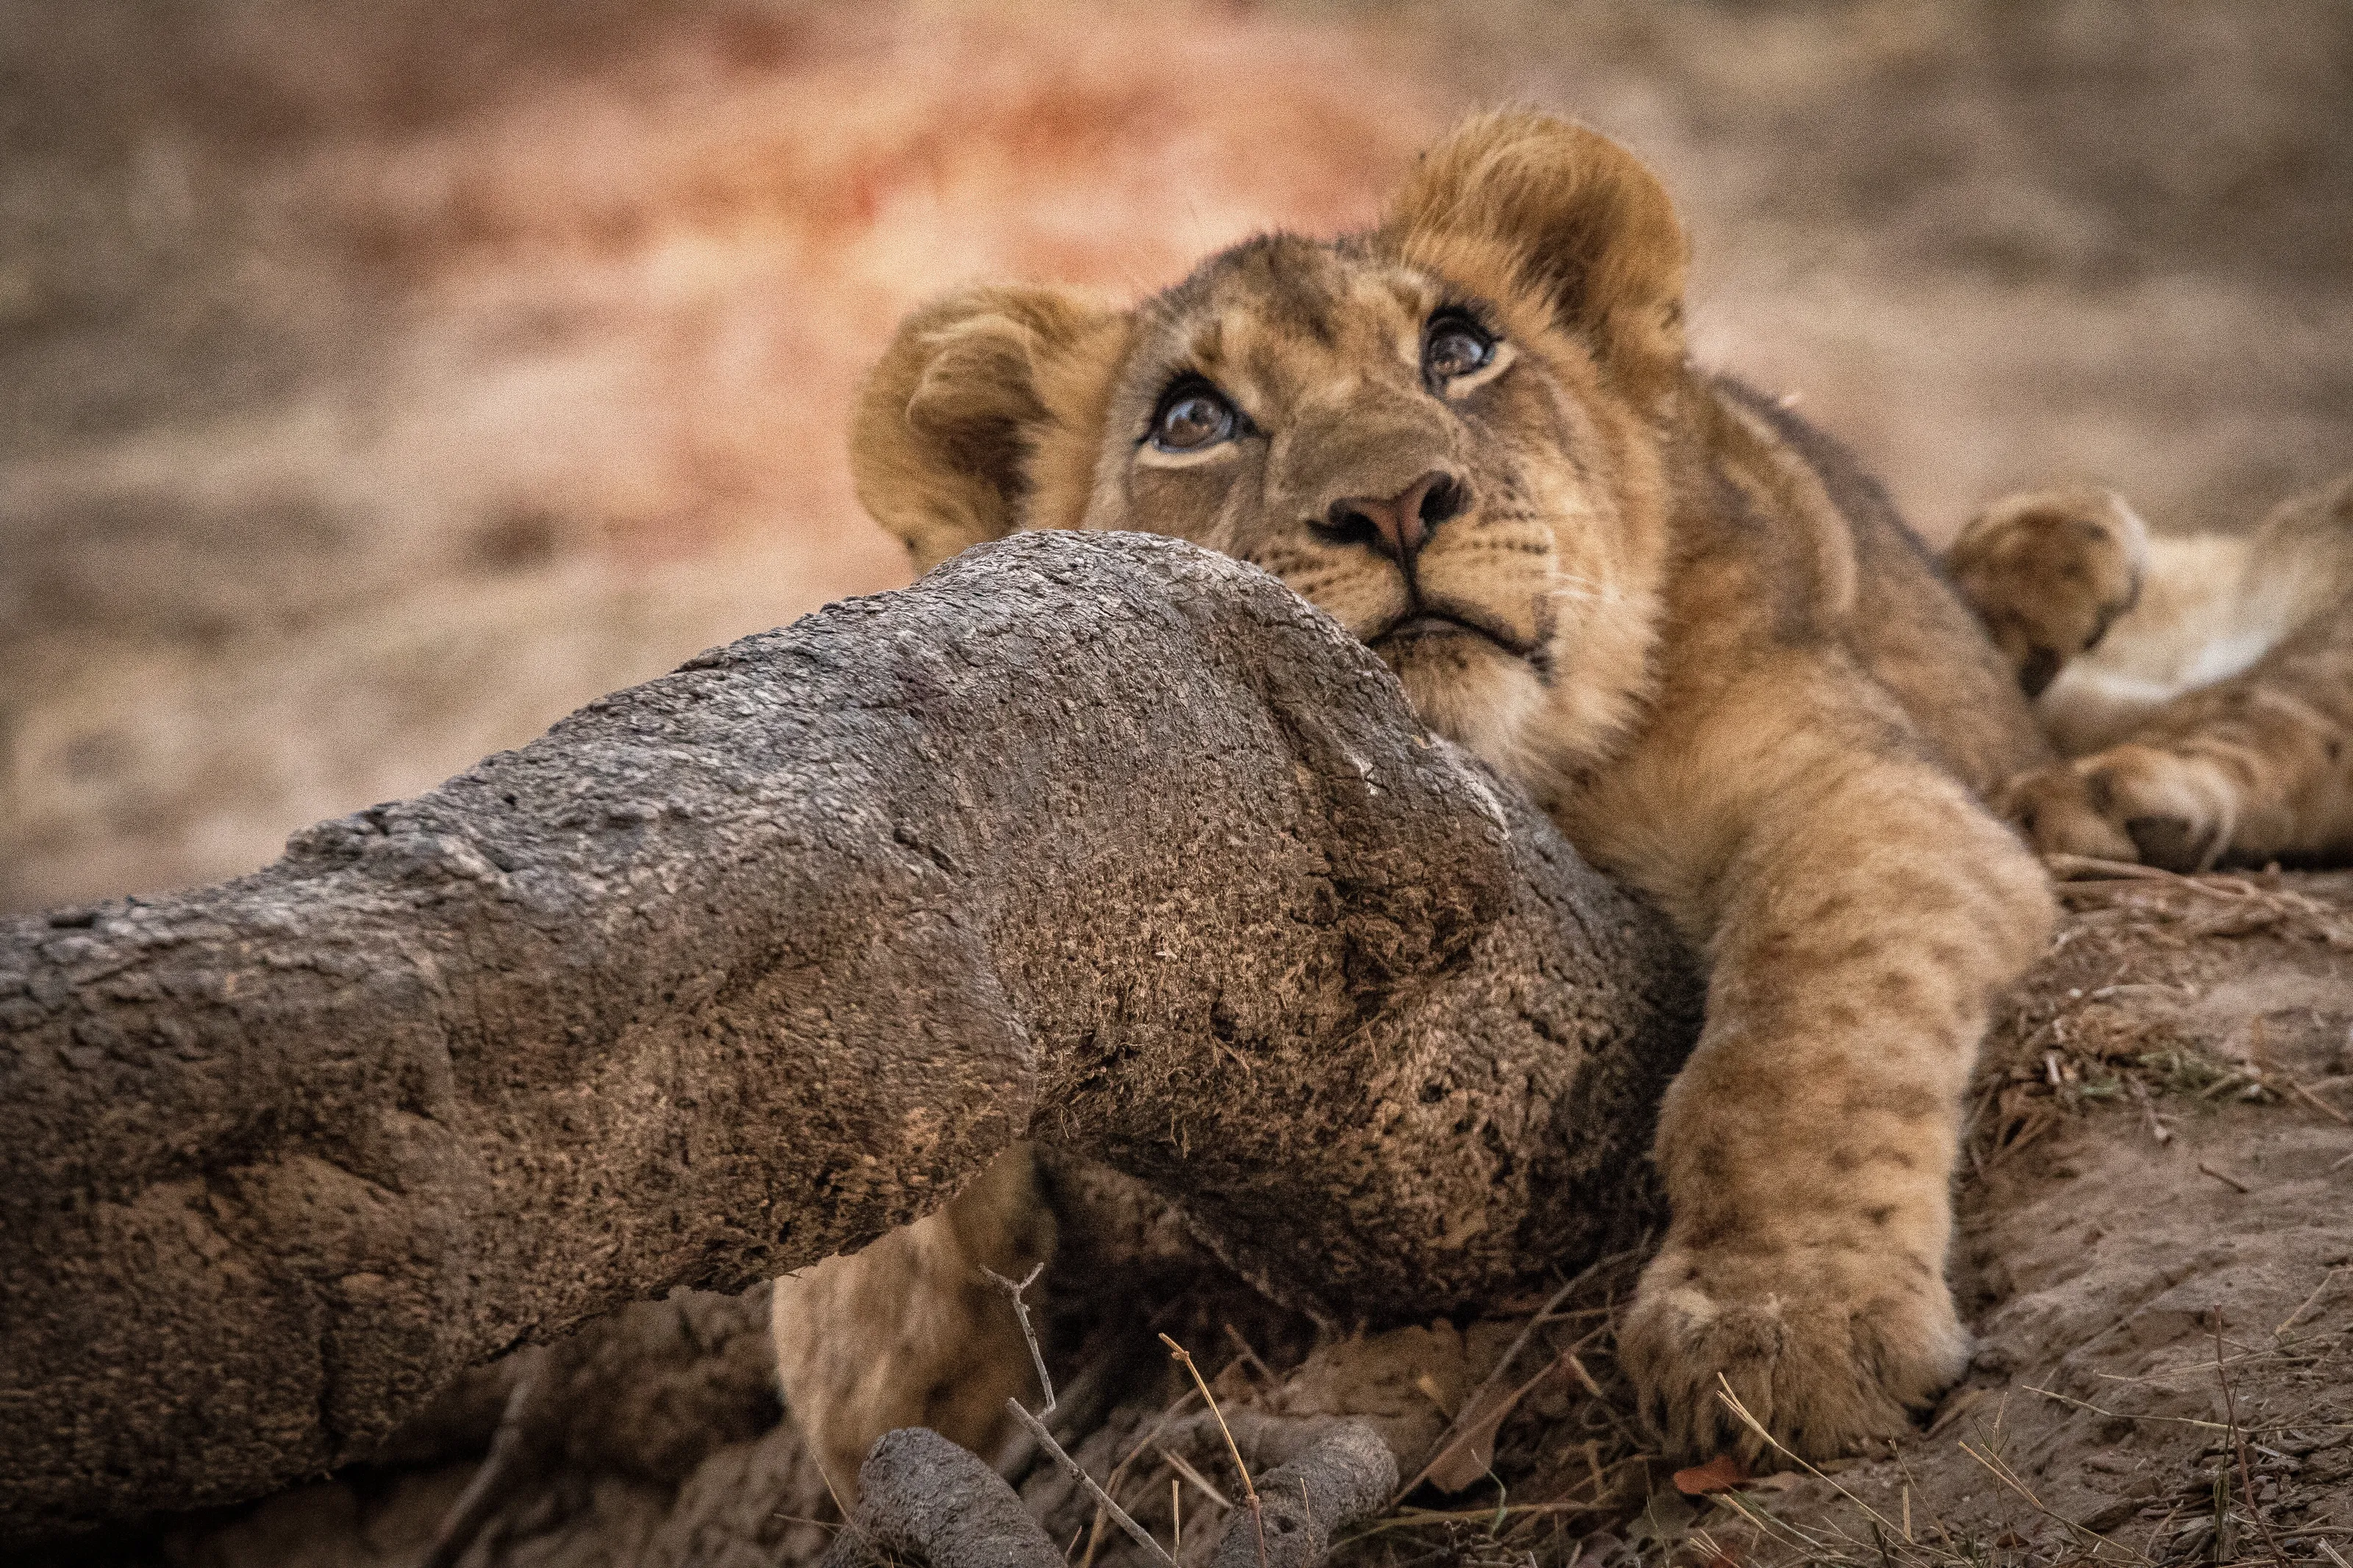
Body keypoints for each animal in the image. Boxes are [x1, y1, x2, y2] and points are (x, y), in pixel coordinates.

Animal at [777, 108, 2070, 1484]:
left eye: (1458, 349)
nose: (1394, 502)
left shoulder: (1857, 783)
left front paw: (1788, 1320)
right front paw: (869, 1360)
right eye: (1193, 416)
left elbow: (1808, 1037)